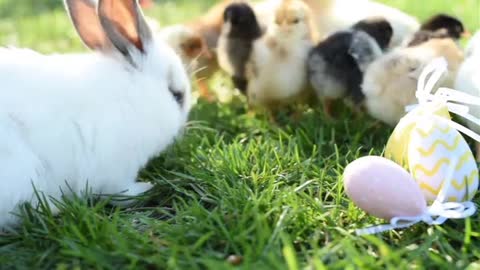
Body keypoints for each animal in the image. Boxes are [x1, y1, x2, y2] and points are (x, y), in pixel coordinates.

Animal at [0, 0, 191, 230]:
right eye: (176, 95)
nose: (182, 129)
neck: (132, 94)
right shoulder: (116, 170)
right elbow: (119, 192)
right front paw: (146, 187)